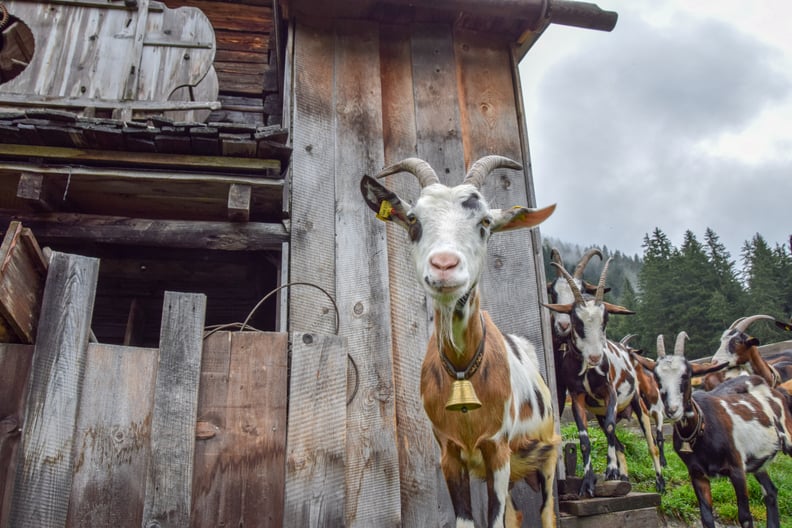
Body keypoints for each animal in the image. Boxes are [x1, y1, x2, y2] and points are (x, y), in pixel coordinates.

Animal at [362, 156, 560, 528]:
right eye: (413, 219)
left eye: (485, 222)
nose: (444, 266)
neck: (462, 370)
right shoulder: (449, 453)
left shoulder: (497, 448)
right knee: (517, 513)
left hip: (547, 454)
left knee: (547, 511)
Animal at [636, 334, 792, 528]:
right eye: (657, 378)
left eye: (686, 375)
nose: (672, 410)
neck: (703, 427)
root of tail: (775, 390)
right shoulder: (697, 474)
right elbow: (707, 518)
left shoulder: (737, 469)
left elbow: (745, 517)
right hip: (758, 461)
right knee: (770, 492)